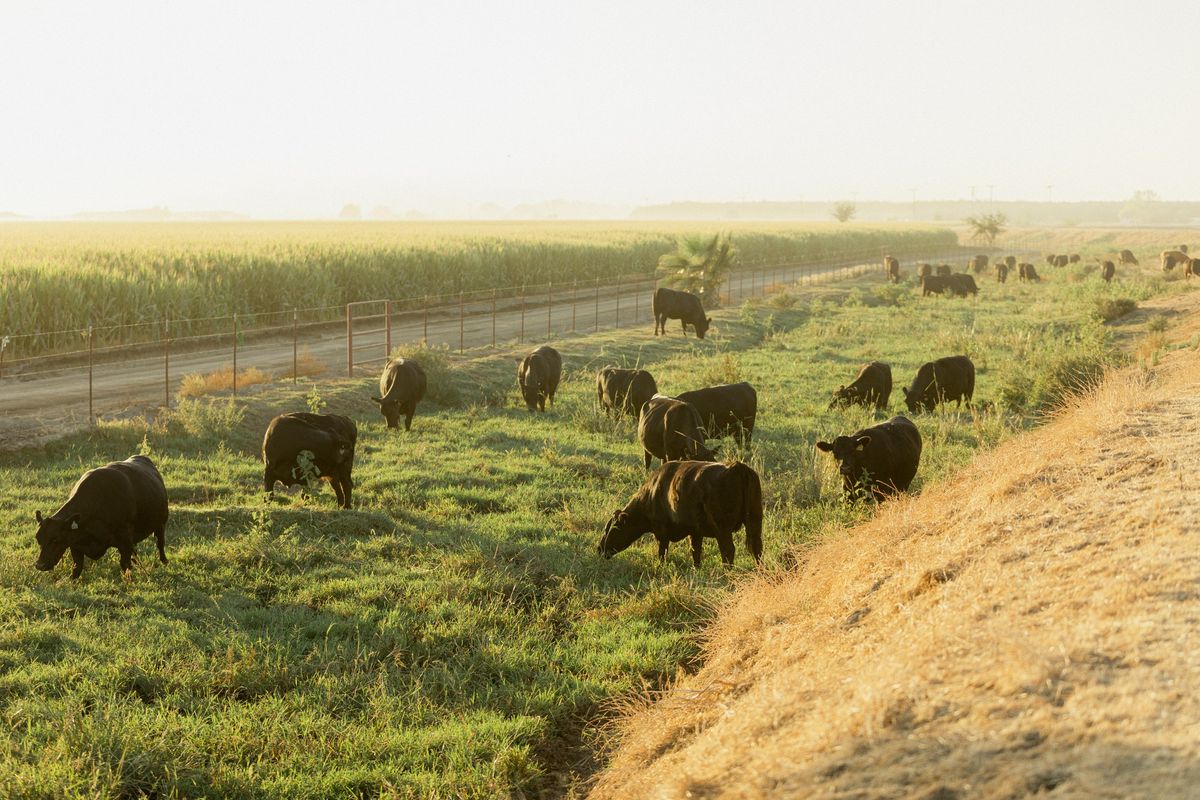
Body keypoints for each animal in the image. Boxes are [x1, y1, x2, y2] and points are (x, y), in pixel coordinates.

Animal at [33, 453, 169, 578]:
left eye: (55, 539)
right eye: (38, 539)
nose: (40, 565)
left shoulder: (124, 539)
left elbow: (125, 565)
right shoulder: (74, 543)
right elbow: (77, 568)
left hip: (161, 522)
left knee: (160, 542)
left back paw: (164, 561)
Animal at [597, 455, 758, 568]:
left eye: (611, 529)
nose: (599, 549)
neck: (652, 492)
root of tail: (736, 466)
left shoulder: (661, 532)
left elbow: (662, 552)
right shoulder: (695, 531)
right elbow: (695, 551)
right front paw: (696, 569)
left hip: (722, 528)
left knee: (728, 550)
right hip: (755, 520)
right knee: (756, 549)